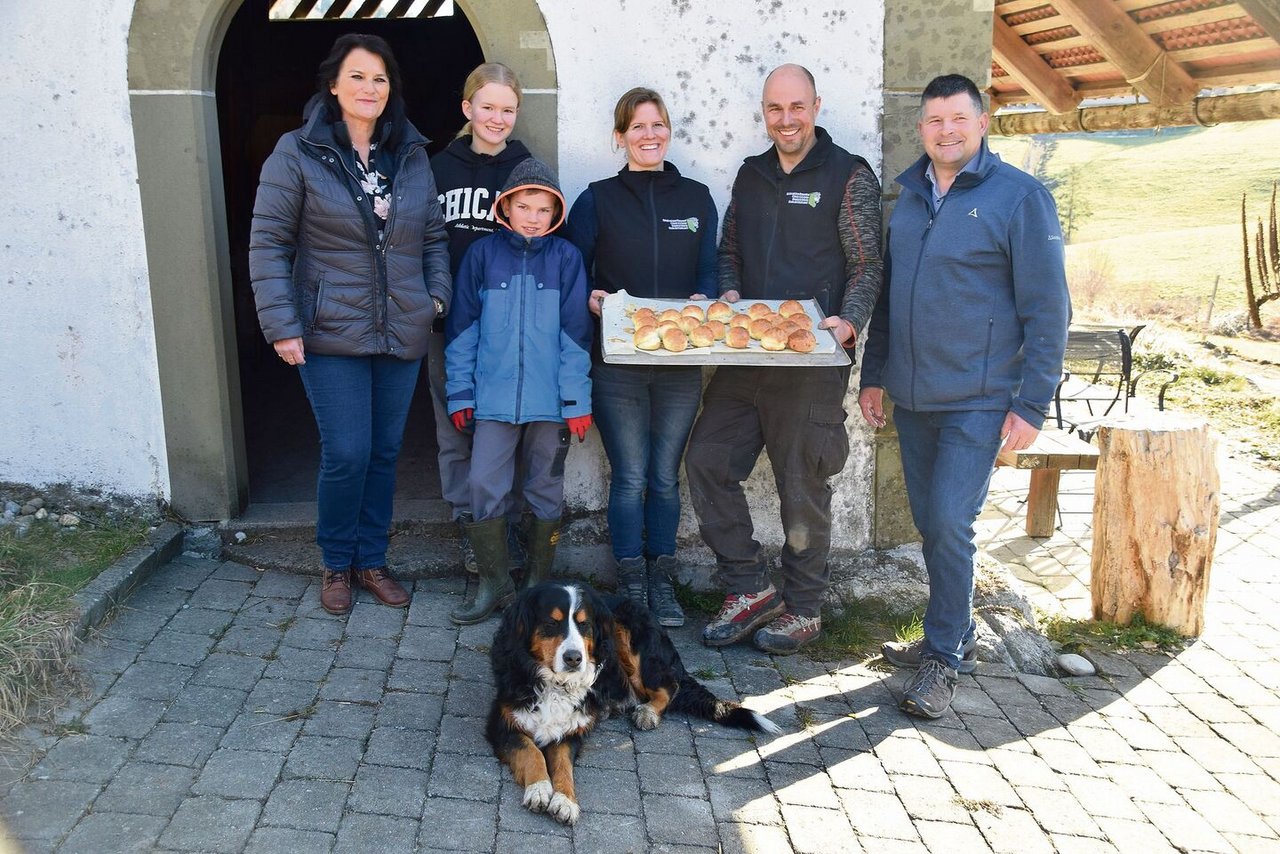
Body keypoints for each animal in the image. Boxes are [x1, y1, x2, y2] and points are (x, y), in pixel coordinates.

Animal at [481, 578, 773, 824]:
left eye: (584, 624)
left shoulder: (572, 729)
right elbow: (531, 752)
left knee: (669, 686)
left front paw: (565, 800)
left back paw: (647, 712)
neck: (555, 683)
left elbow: (563, 766)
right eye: (551, 623)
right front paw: (540, 788)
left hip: (630, 640)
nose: (574, 658)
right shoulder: (503, 721)